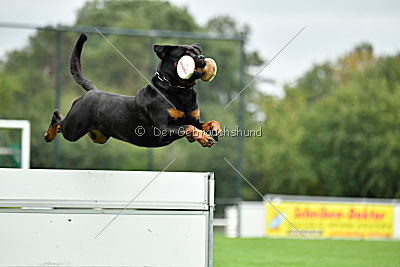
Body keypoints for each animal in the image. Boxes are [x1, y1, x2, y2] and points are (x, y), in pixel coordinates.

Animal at [43, 33, 222, 149]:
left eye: (196, 52)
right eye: (186, 55)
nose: (202, 58)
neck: (178, 90)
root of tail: (92, 91)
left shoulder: (194, 120)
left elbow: (206, 123)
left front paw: (215, 130)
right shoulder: (164, 128)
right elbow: (190, 128)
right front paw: (205, 138)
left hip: (98, 135)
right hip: (74, 128)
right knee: (57, 116)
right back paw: (48, 135)